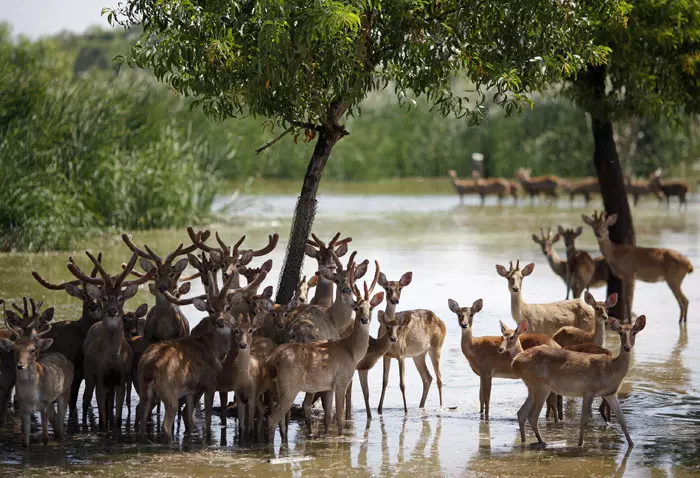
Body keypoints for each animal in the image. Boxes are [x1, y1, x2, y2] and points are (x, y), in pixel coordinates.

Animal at [138, 270, 245, 442]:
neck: (215, 350)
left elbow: (189, 417)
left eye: (227, 307)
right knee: (165, 425)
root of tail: (149, 367)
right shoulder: (210, 381)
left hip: (143, 387)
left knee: (142, 419)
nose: (221, 322)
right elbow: (207, 418)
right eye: (210, 309)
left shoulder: (190, 389)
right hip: (169, 391)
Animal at [262, 264, 382, 442]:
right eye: (357, 308)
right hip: (289, 386)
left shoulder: (329, 386)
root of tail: (273, 360)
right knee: (272, 418)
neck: (351, 351)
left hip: (275, 387)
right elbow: (339, 417)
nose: (364, 319)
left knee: (279, 416)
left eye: (371, 307)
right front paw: (340, 437)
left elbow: (329, 415)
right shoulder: (341, 380)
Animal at [374, 270, 446, 412]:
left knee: (439, 378)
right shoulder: (386, 355)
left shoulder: (401, 354)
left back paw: (441, 406)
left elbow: (402, 384)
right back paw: (421, 406)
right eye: (387, 288)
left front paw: (406, 409)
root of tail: (441, 321)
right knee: (427, 377)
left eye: (400, 288)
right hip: (418, 355)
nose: (394, 300)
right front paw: (379, 409)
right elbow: (384, 381)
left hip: (436, 347)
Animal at [508, 316, 652, 446]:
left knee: (521, 413)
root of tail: (515, 361)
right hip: (541, 386)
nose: (627, 347)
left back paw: (525, 441)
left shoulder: (610, 393)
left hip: (532, 387)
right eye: (621, 333)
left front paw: (631, 444)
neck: (611, 369)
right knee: (532, 416)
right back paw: (543, 442)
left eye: (634, 332)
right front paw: (580, 443)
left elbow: (622, 419)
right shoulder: (589, 390)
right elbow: (584, 419)